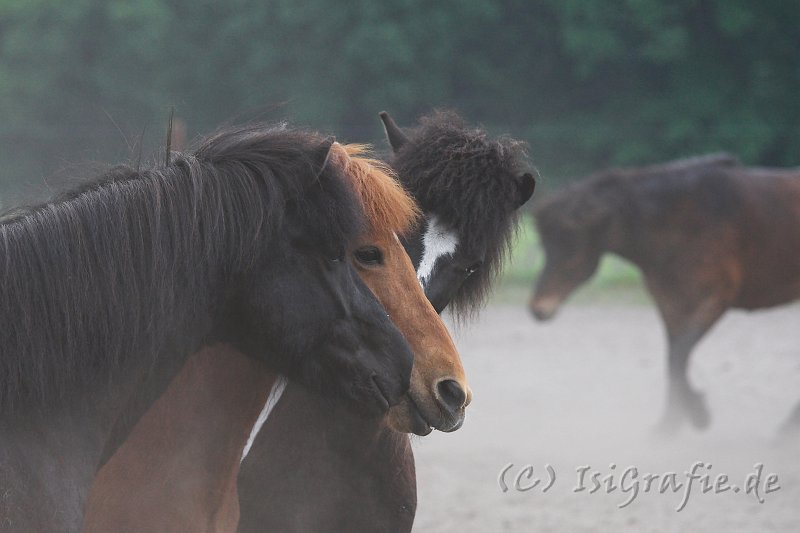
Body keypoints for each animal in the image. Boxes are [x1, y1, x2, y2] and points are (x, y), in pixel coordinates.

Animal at [532, 153, 800, 432]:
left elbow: (679, 357)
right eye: (545, 245)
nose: (538, 308)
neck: (680, 223)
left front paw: (697, 414)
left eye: (571, 244)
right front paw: (669, 425)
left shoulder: (713, 301)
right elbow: (673, 360)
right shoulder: (670, 304)